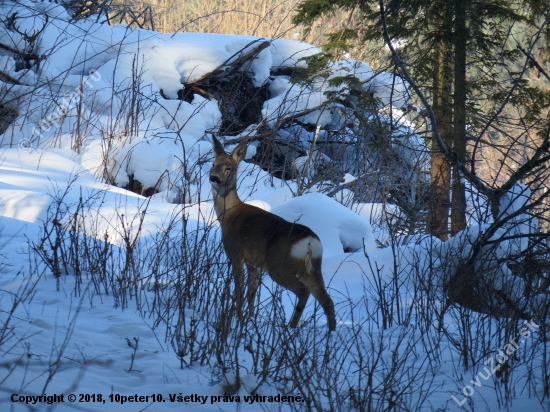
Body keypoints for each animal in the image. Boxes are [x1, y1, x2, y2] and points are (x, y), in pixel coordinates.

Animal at [210, 137, 336, 330]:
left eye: (228, 168)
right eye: (213, 163)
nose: (214, 178)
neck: (228, 216)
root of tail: (309, 242)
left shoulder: (235, 252)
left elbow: (240, 291)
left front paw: (237, 320)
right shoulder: (253, 262)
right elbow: (251, 293)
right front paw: (249, 320)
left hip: (279, 265)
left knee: (304, 291)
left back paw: (291, 326)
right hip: (312, 266)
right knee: (326, 299)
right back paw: (330, 331)